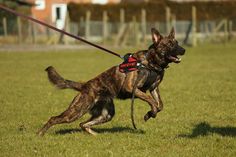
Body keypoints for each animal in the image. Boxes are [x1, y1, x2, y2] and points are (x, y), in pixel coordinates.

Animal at [37, 27, 185, 136]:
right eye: (169, 44)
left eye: (177, 43)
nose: (184, 50)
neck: (151, 62)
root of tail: (85, 85)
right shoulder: (132, 88)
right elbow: (152, 101)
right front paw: (151, 113)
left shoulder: (153, 88)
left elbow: (160, 105)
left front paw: (150, 114)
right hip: (77, 111)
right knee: (54, 118)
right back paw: (40, 134)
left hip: (106, 114)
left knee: (82, 124)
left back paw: (95, 135)